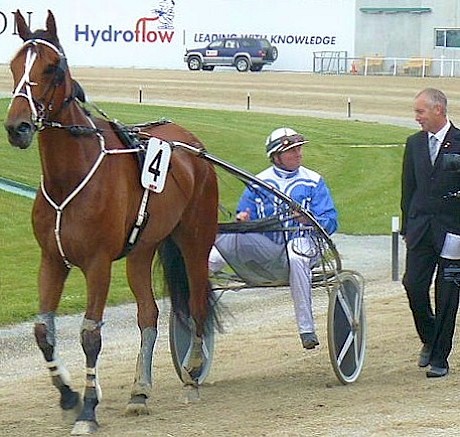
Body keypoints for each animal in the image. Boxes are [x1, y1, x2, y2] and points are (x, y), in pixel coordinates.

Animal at [3, 8, 219, 434]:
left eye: (52, 68)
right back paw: (140, 391)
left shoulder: (97, 263)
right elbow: (43, 331)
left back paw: (192, 374)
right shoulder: (52, 259)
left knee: (198, 302)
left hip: (195, 240)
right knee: (148, 314)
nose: (17, 127)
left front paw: (88, 409)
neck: (71, 174)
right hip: (142, 250)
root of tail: (191, 144)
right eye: (15, 64)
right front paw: (69, 397)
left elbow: (90, 335)